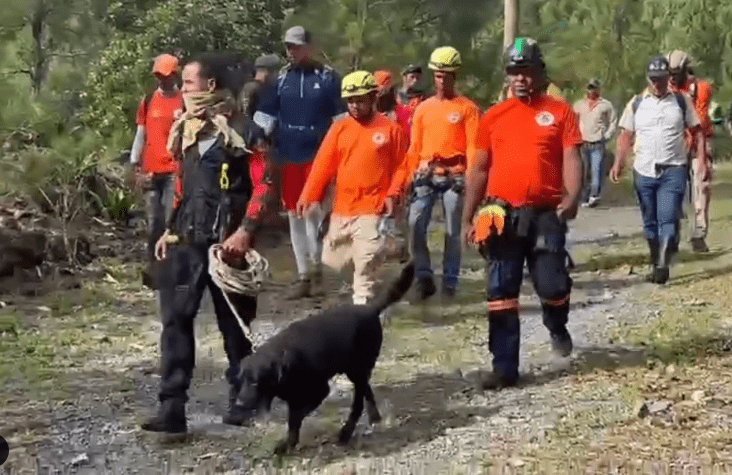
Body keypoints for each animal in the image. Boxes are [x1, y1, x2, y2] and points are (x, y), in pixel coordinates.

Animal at [223, 262, 414, 456]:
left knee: (358, 403)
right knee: (366, 390)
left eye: (255, 382)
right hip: (354, 370)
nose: (238, 403)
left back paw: (346, 433)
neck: (284, 359)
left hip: (357, 370)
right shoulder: (293, 396)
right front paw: (288, 444)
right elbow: (293, 422)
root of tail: (370, 309)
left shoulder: (320, 391)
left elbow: (296, 417)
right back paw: (374, 416)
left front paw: (288, 444)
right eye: (241, 380)